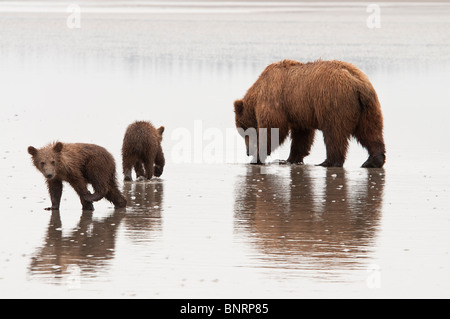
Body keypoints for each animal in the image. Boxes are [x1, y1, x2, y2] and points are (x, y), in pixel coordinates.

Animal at [234, 60, 384, 170]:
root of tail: (358, 83)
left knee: (334, 134)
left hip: (333, 102)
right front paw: (289, 159)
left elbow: (273, 129)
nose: (248, 152)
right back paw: (373, 161)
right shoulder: (299, 112)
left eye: (244, 133)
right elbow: (302, 136)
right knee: (370, 132)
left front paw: (257, 158)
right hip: (368, 108)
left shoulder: (274, 100)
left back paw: (328, 162)